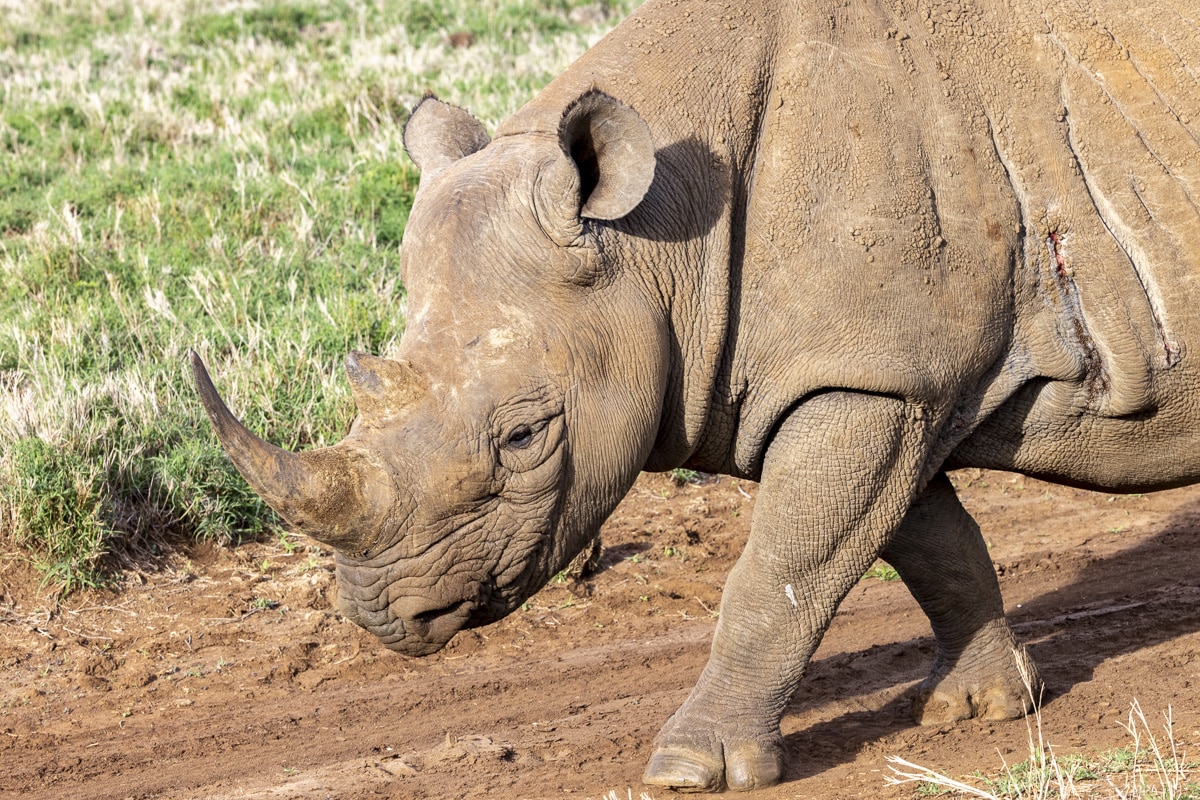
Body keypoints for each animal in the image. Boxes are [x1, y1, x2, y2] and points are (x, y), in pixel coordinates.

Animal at [187, 0, 1200, 791]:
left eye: (523, 438)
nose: (380, 616)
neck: (657, 234)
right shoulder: (887, 373)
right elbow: (925, 542)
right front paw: (984, 708)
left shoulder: (872, 381)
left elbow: (783, 569)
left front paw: (691, 770)